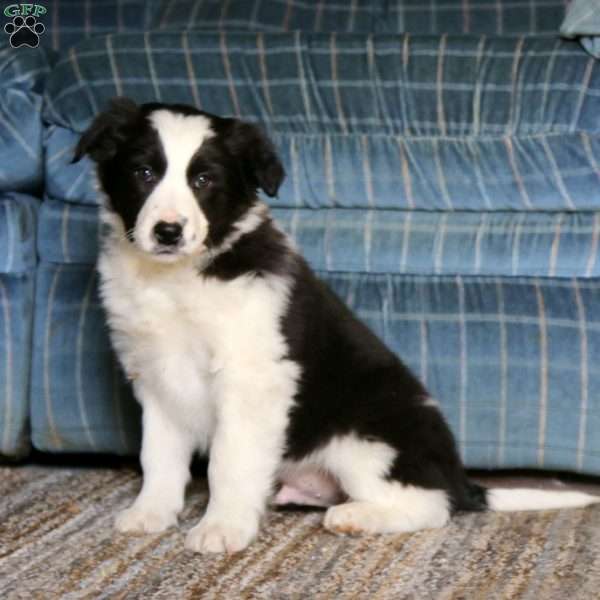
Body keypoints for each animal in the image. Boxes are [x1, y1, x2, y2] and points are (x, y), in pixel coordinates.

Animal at [76, 98, 600, 552]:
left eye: (204, 179)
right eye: (143, 173)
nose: (168, 232)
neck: (177, 279)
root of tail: (456, 475)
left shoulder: (251, 378)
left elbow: (230, 461)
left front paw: (222, 527)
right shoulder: (156, 378)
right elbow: (159, 457)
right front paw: (152, 513)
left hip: (366, 439)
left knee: (433, 506)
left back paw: (356, 516)